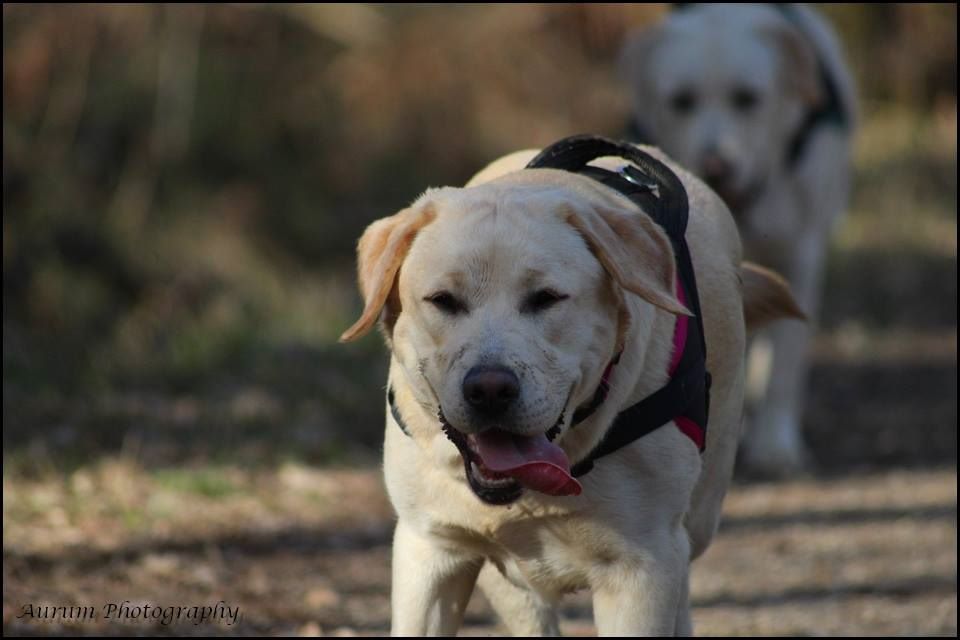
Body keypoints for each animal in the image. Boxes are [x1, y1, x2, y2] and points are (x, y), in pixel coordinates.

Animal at [624, 3, 856, 476]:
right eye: (682, 101)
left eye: (748, 99)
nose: (717, 165)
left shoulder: (800, 256)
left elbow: (786, 359)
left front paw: (775, 443)